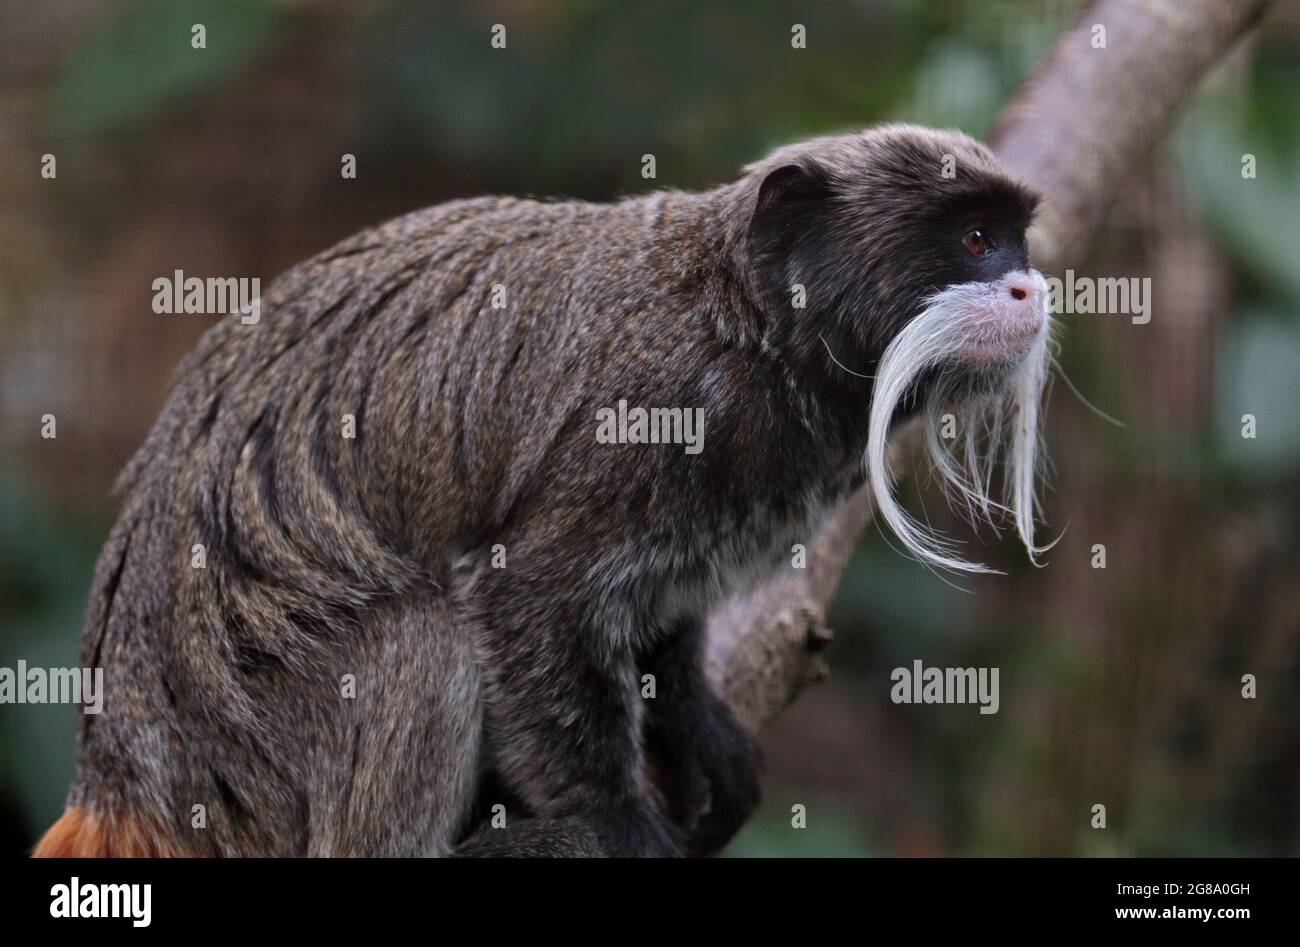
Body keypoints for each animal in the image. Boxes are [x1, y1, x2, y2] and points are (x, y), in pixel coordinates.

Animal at [35, 122, 1050, 853]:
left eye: (1016, 242)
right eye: (974, 240)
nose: (1033, 289)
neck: (753, 337)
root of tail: (120, 783)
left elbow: (657, 615)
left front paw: (691, 714)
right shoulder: (641, 416)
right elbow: (523, 596)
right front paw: (615, 822)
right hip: (254, 760)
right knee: (423, 634)